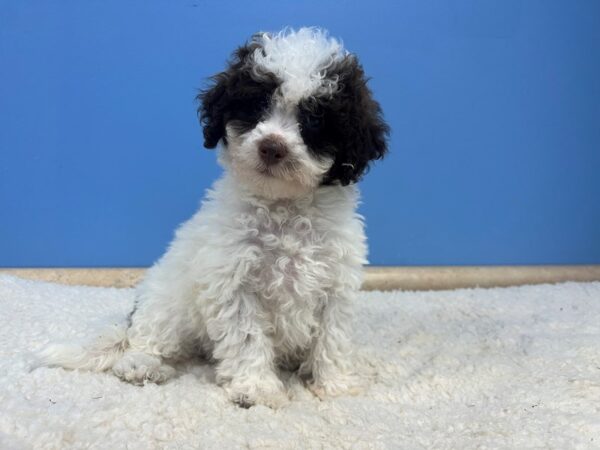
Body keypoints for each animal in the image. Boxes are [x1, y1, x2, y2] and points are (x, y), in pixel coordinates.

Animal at [41, 27, 390, 408]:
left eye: (313, 119)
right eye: (256, 107)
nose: (271, 146)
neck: (283, 208)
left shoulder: (335, 282)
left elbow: (332, 337)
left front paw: (335, 385)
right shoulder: (234, 283)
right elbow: (249, 337)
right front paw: (257, 388)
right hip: (166, 301)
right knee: (146, 338)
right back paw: (142, 365)